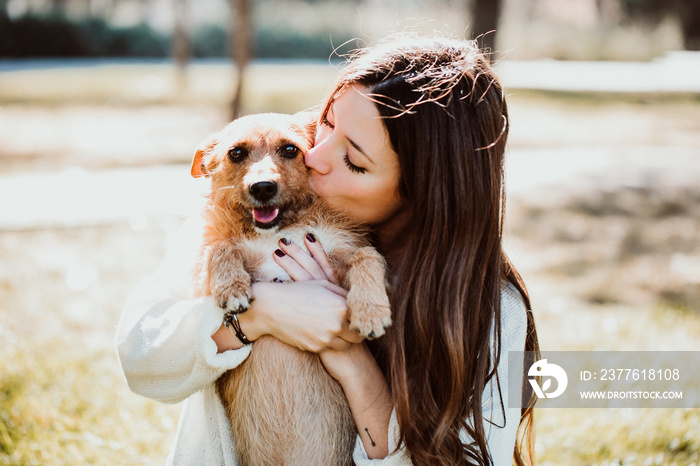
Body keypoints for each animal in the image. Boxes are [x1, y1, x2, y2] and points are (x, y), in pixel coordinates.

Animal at [189, 111, 392, 464]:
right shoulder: (202, 281)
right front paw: (231, 288)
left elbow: (367, 256)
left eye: (289, 149)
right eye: (236, 153)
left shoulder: (340, 257)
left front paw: (370, 311)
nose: (263, 188)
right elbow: (219, 247)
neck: (280, 230)